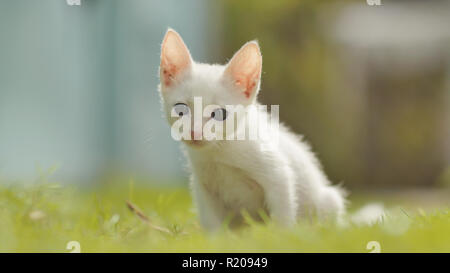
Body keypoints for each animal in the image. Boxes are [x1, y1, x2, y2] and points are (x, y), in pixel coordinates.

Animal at [159, 29, 348, 230]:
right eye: (181, 110)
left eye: (219, 114)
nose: (195, 132)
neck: (219, 152)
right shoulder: (204, 187)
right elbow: (213, 224)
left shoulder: (278, 173)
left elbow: (282, 214)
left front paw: (282, 235)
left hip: (328, 201)